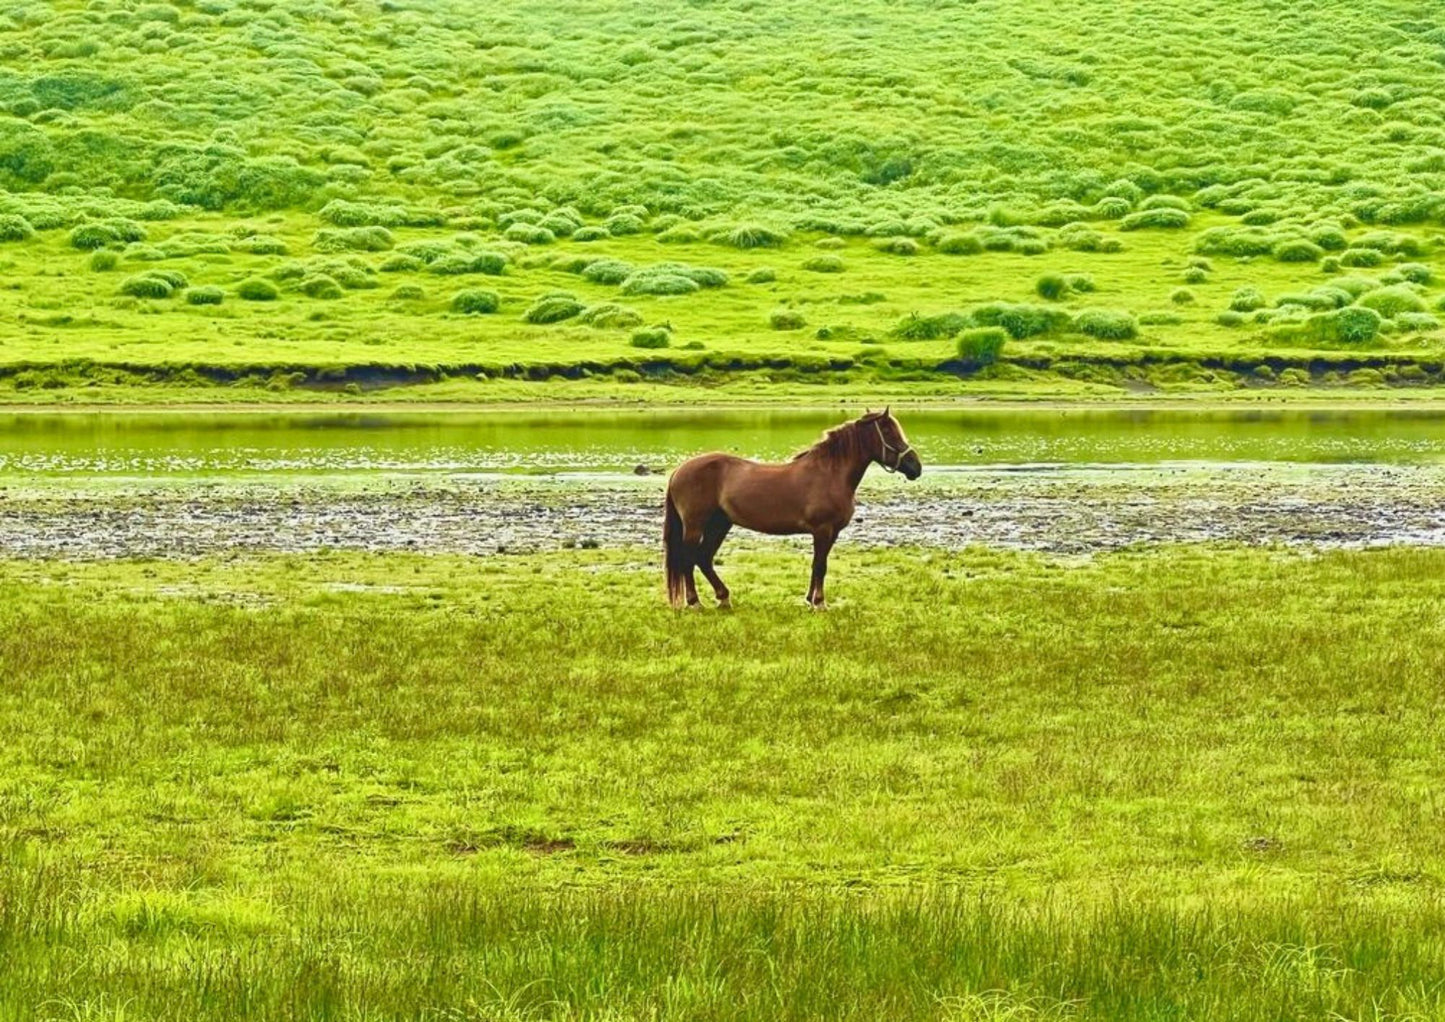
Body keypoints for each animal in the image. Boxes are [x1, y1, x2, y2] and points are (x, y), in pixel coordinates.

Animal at [661, 410, 919, 612]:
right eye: (889, 432)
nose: (916, 467)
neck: (830, 473)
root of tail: (679, 470)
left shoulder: (831, 533)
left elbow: (818, 565)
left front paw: (810, 600)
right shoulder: (823, 530)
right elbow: (820, 566)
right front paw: (819, 602)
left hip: (719, 524)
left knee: (703, 558)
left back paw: (724, 598)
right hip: (695, 525)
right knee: (689, 558)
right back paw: (695, 602)